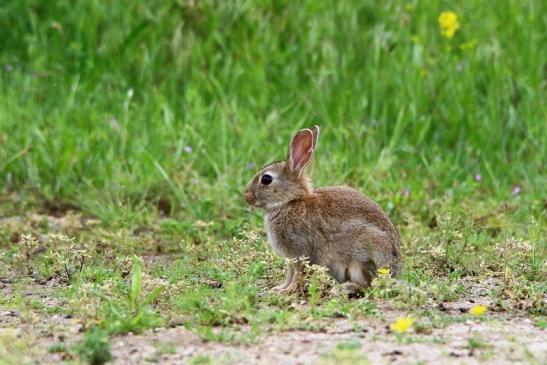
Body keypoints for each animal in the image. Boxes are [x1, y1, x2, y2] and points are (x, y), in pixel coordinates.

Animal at [245, 125, 402, 292]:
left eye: (266, 179)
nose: (246, 195)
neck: (290, 202)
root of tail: (394, 271)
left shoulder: (300, 252)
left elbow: (297, 274)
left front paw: (289, 290)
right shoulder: (291, 258)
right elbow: (289, 274)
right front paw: (279, 288)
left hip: (361, 258)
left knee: (367, 284)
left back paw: (340, 289)